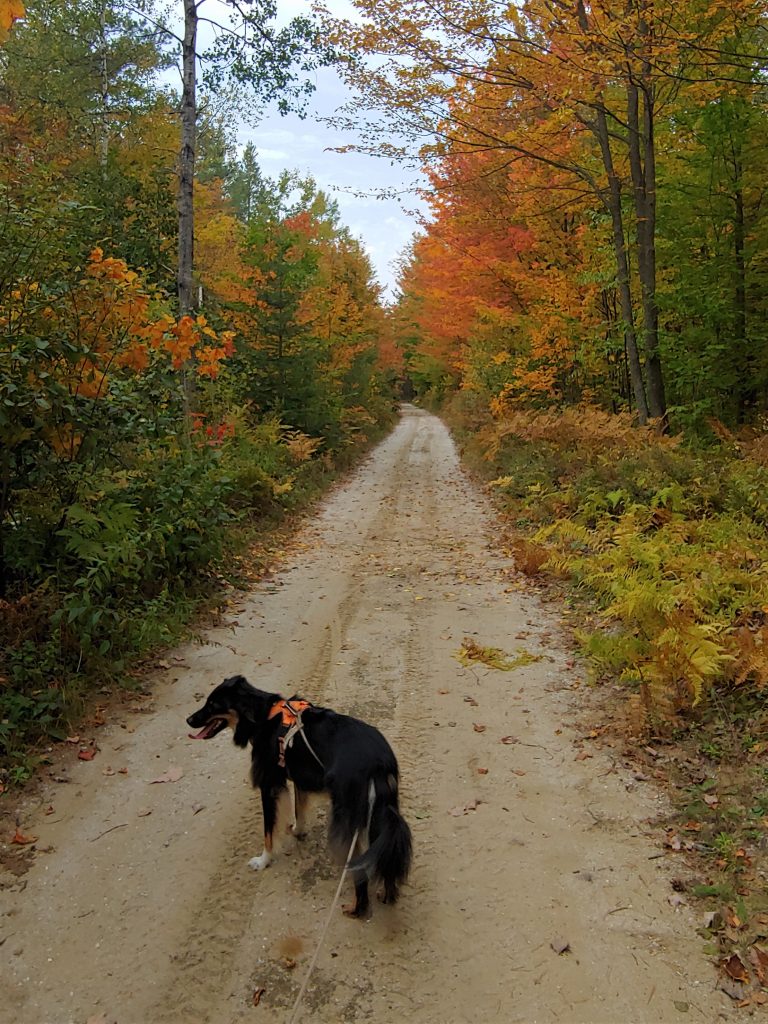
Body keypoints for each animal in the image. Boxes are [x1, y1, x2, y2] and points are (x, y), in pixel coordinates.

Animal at [187, 675, 411, 917]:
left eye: (213, 705)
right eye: (207, 701)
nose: (188, 720)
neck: (264, 717)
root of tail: (379, 762)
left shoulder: (269, 785)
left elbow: (268, 833)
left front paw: (263, 861)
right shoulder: (299, 777)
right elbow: (299, 810)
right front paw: (297, 831)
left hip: (348, 818)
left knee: (359, 868)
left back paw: (356, 909)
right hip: (381, 811)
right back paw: (387, 894)